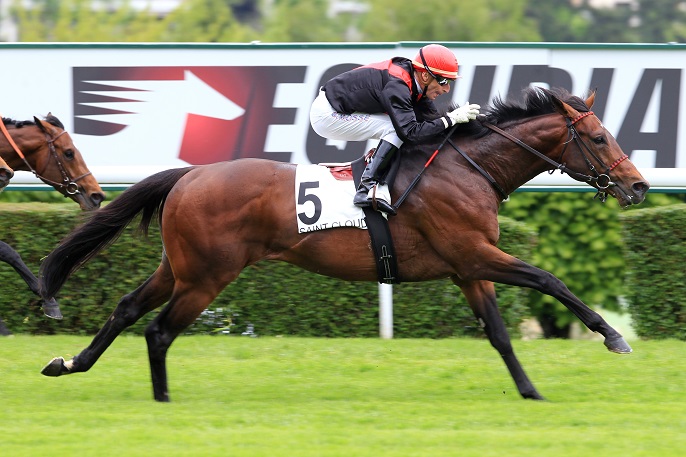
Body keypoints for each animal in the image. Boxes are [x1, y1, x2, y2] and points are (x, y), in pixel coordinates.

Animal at [39, 88, 652, 400]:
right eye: (599, 137)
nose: (638, 186)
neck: (466, 167)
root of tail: (189, 175)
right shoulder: (475, 254)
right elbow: (549, 279)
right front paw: (613, 336)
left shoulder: (467, 268)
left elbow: (500, 334)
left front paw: (530, 392)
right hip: (207, 276)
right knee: (160, 330)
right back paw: (162, 399)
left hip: (182, 267)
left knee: (126, 309)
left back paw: (70, 364)